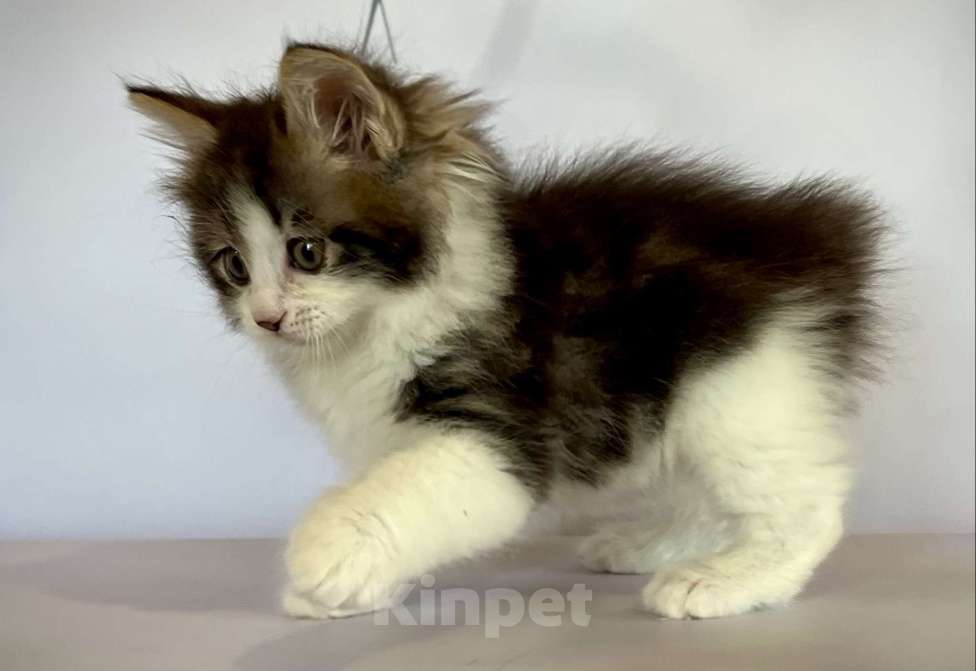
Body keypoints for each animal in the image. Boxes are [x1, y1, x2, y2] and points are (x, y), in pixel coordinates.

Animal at [127, 42, 885, 620]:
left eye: (306, 251)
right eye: (233, 265)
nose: (267, 317)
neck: (377, 325)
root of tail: (814, 235)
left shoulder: (496, 432)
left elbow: (397, 495)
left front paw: (322, 552)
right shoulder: (391, 430)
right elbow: (391, 495)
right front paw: (350, 588)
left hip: (737, 387)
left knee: (808, 505)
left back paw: (724, 577)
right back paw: (656, 545)